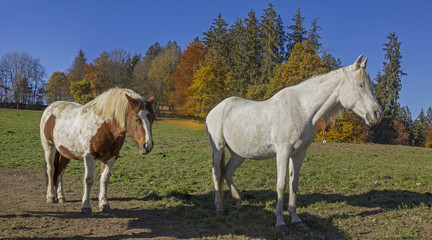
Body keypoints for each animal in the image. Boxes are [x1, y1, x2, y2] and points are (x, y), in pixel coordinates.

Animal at [206, 55, 382, 233]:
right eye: (360, 85)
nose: (377, 114)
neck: (302, 109)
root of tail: (215, 109)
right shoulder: (283, 152)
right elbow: (281, 186)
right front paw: (280, 223)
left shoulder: (299, 153)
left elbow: (294, 185)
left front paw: (296, 220)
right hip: (218, 148)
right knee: (217, 173)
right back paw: (219, 208)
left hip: (239, 154)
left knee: (227, 172)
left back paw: (238, 201)